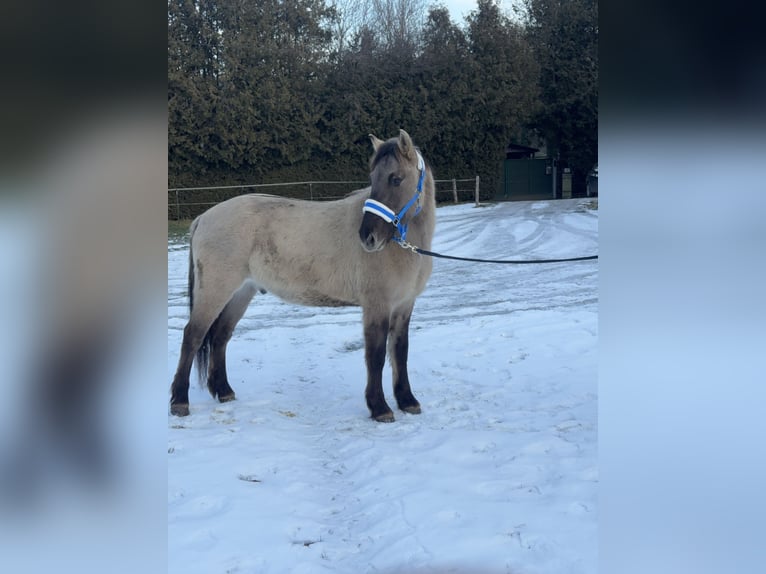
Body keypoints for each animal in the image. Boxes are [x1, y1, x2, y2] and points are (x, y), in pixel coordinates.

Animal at [170, 129, 436, 422]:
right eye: (372, 179)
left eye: (396, 178)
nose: (369, 237)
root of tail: (202, 218)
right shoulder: (378, 305)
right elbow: (375, 356)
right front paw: (380, 408)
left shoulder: (403, 305)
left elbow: (400, 351)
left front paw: (407, 401)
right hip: (215, 291)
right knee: (192, 336)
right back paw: (180, 402)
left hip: (241, 293)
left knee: (220, 335)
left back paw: (224, 391)